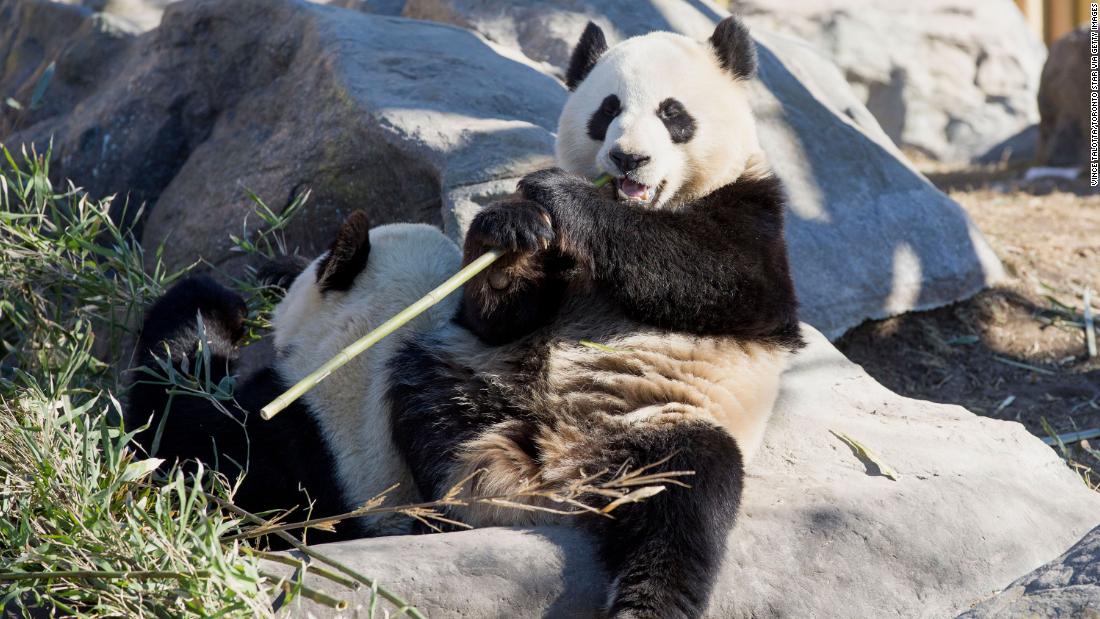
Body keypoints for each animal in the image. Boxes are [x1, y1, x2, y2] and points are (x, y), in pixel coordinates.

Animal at [128, 14, 800, 619]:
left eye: (672, 113)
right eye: (605, 110)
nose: (627, 158)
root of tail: (545, 482)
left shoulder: (758, 217)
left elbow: (719, 276)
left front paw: (562, 197)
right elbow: (499, 316)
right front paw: (509, 232)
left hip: (652, 422)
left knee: (686, 496)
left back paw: (649, 601)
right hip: (468, 380)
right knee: (434, 395)